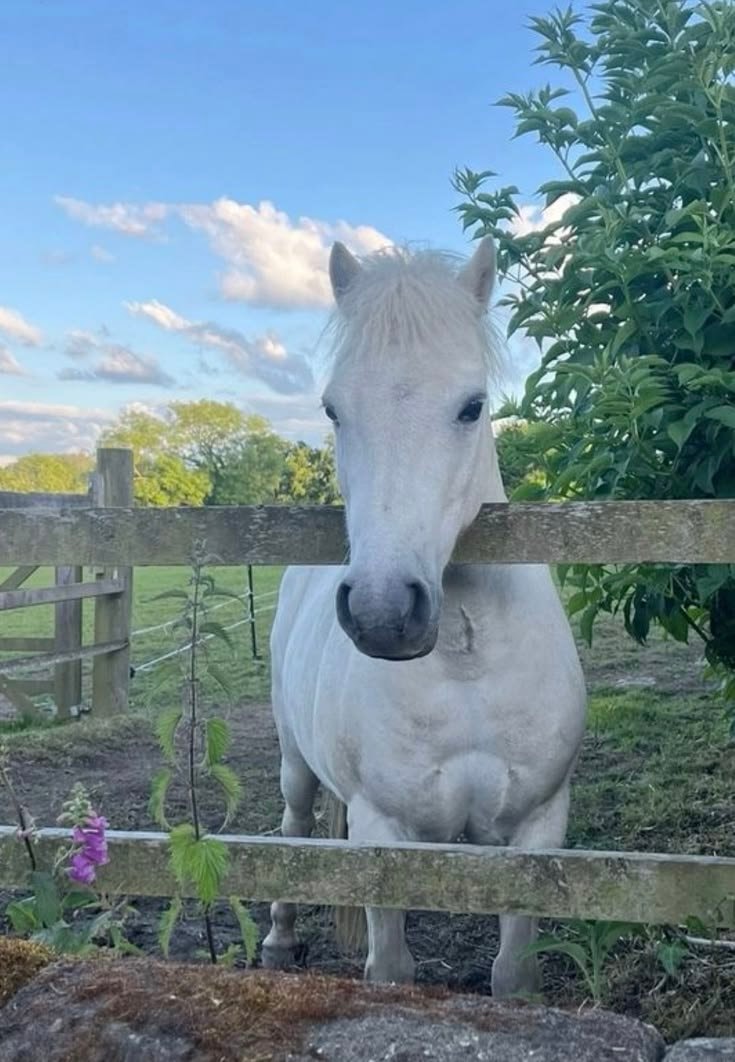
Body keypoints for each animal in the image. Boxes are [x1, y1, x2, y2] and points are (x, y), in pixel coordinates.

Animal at [262, 236, 587, 997]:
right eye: (333, 409)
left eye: (471, 407)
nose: (382, 612)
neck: (468, 665)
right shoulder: (382, 833)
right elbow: (391, 969)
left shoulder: (538, 828)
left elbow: (512, 973)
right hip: (293, 760)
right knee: (292, 830)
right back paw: (279, 938)